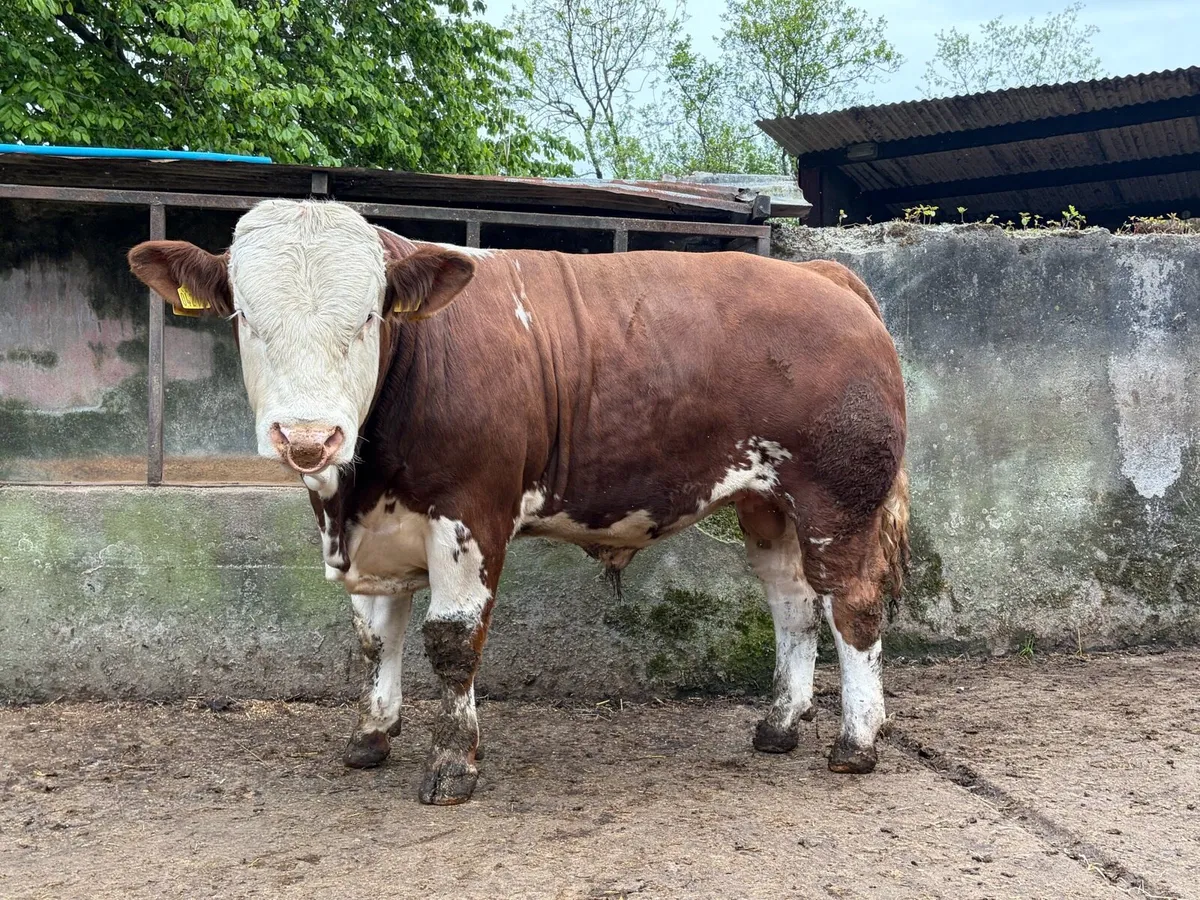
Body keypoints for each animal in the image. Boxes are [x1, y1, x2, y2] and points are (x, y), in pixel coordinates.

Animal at [127, 199, 909, 806]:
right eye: (245, 316)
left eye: (369, 317)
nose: (309, 436)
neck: (353, 492)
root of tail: (822, 275)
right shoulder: (379, 532)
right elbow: (377, 638)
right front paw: (371, 734)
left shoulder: (470, 514)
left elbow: (451, 640)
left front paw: (452, 762)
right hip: (767, 502)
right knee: (793, 603)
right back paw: (779, 724)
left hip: (837, 498)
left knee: (853, 603)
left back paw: (855, 741)